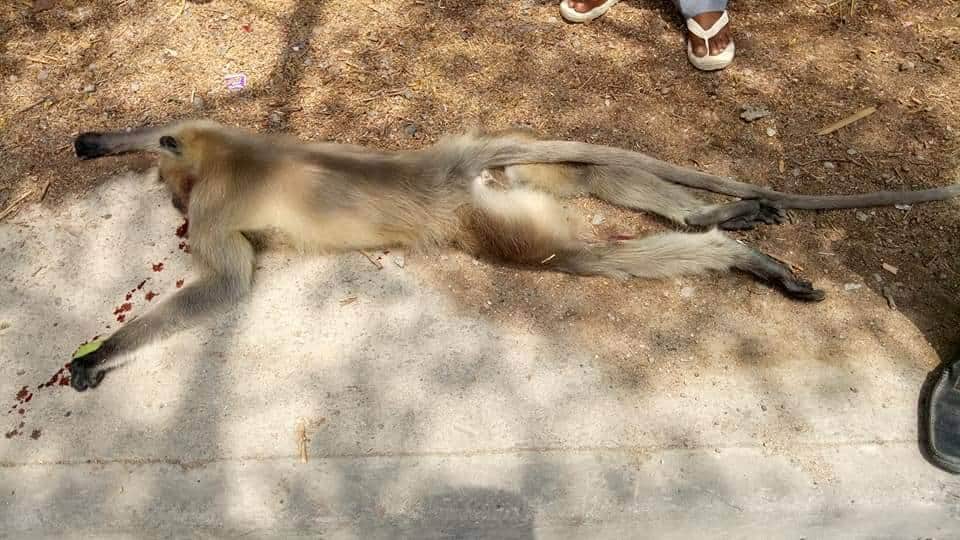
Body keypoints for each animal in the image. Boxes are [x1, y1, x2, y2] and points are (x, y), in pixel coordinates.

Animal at [66, 119, 960, 390]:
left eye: (177, 207)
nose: (171, 217)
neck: (224, 161)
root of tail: (449, 169)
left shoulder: (215, 191)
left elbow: (225, 289)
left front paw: (95, 354)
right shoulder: (213, 136)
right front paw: (98, 142)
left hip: (485, 216)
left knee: (576, 259)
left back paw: (740, 254)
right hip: (512, 178)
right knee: (590, 175)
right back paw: (728, 216)